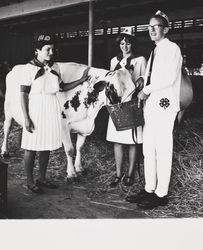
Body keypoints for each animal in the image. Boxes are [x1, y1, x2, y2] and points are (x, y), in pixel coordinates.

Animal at [1, 63, 136, 179]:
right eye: (114, 89)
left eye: (134, 90)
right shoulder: (63, 126)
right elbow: (70, 149)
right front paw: (71, 173)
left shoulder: (84, 126)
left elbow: (80, 147)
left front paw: (79, 167)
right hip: (7, 109)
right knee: (7, 128)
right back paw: (4, 151)